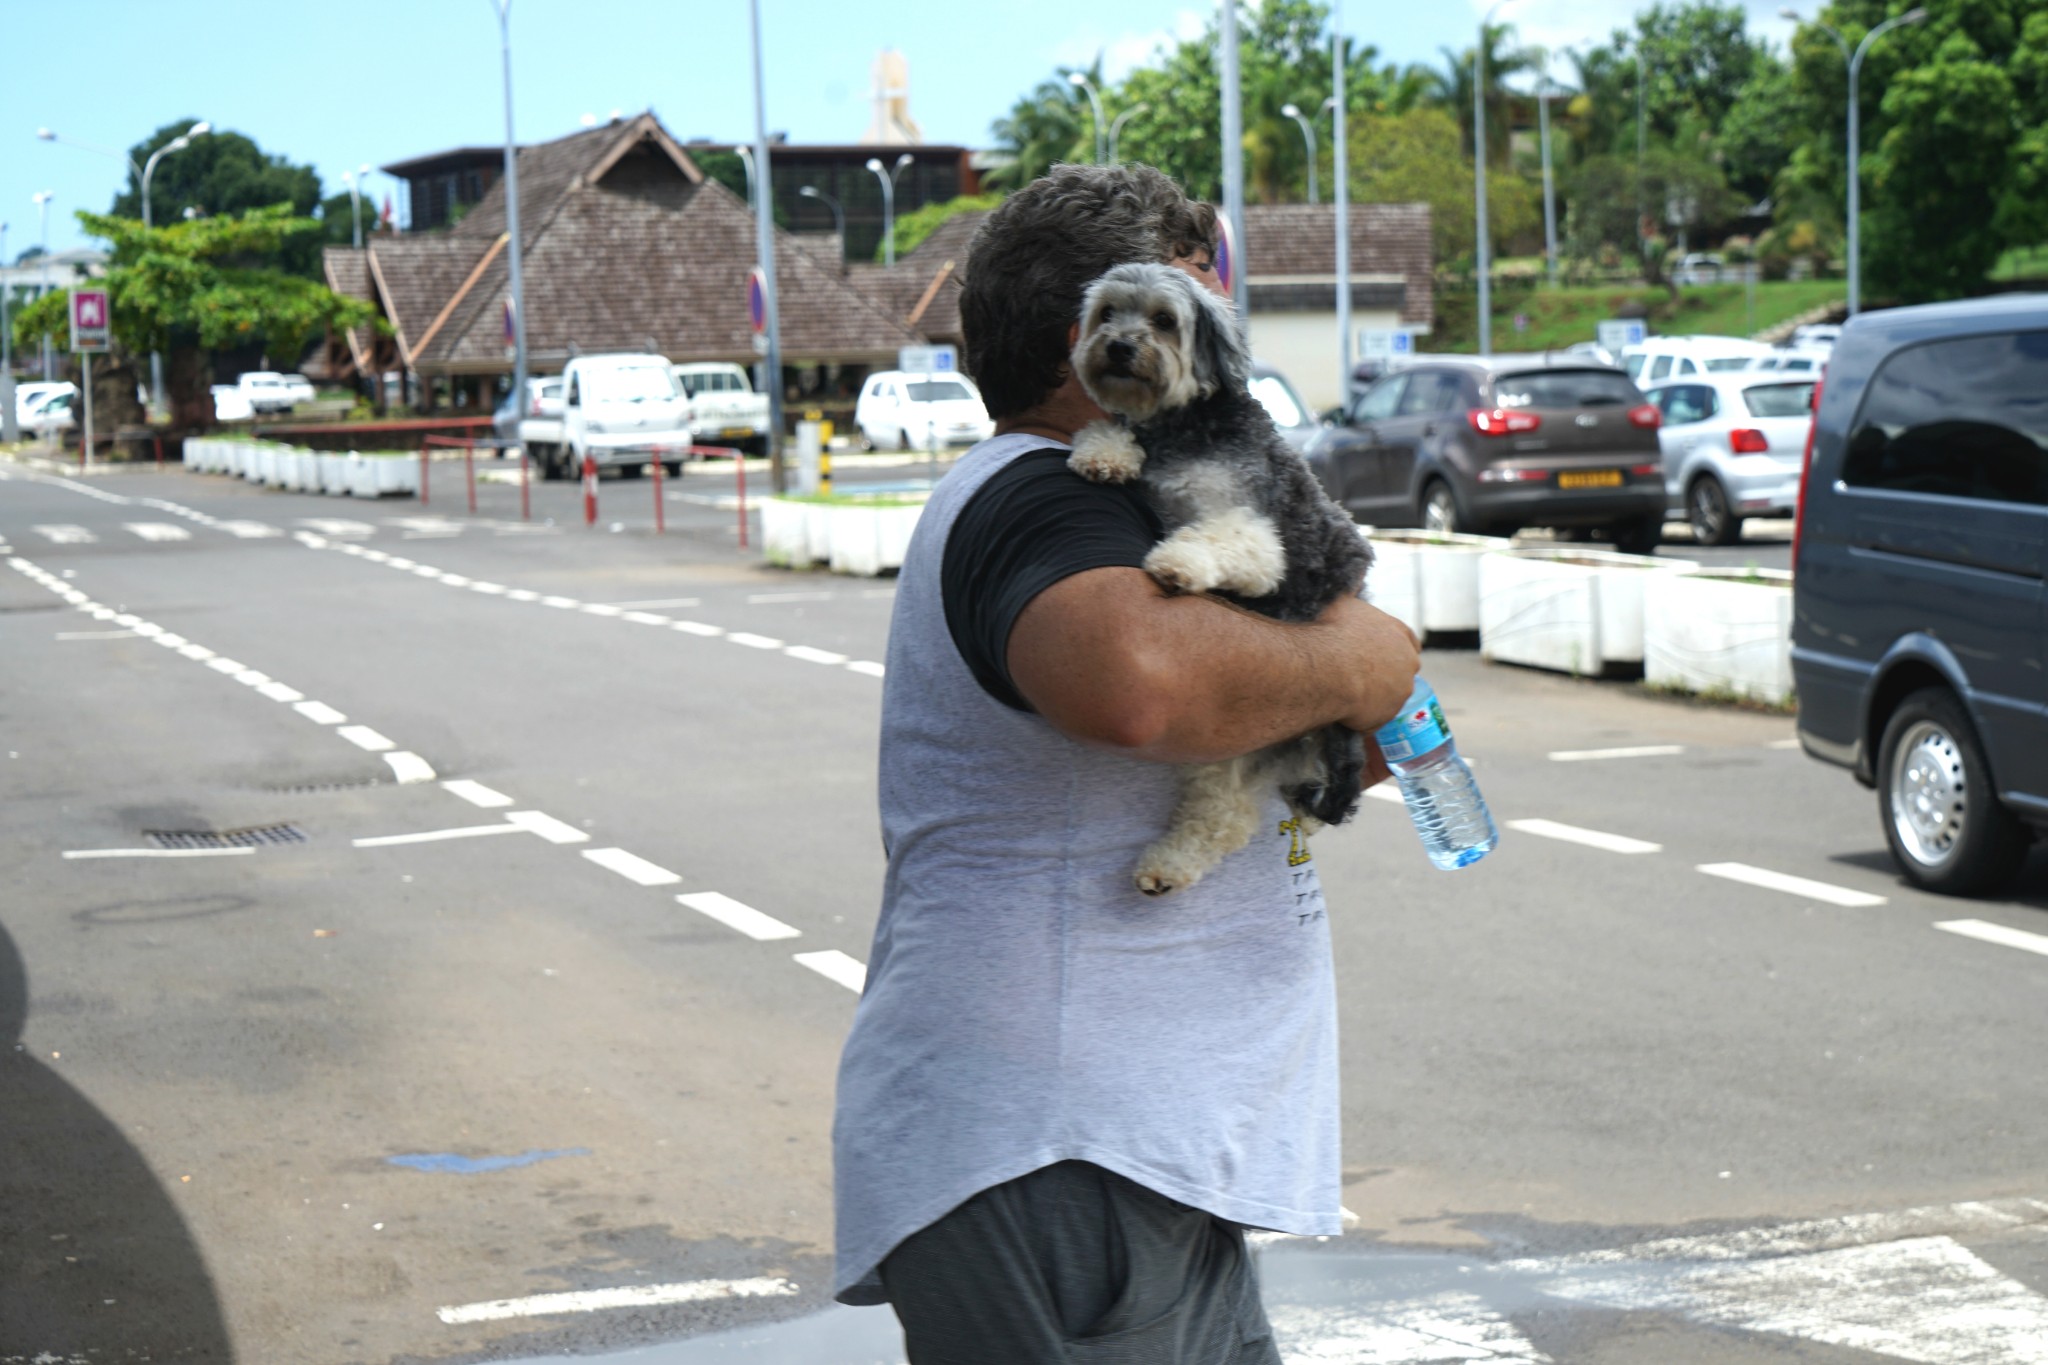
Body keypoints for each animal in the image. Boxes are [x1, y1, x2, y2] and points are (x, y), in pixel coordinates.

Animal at [1064, 258, 1368, 896]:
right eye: (1108, 313)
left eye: (1163, 320)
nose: (1120, 346)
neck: (1180, 426)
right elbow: (1106, 430)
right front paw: (1106, 455)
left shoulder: (1255, 536)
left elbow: (1213, 539)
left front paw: (1176, 565)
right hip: (1231, 735)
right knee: (1224, 813)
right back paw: (1167, 865)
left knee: (1228, 813)